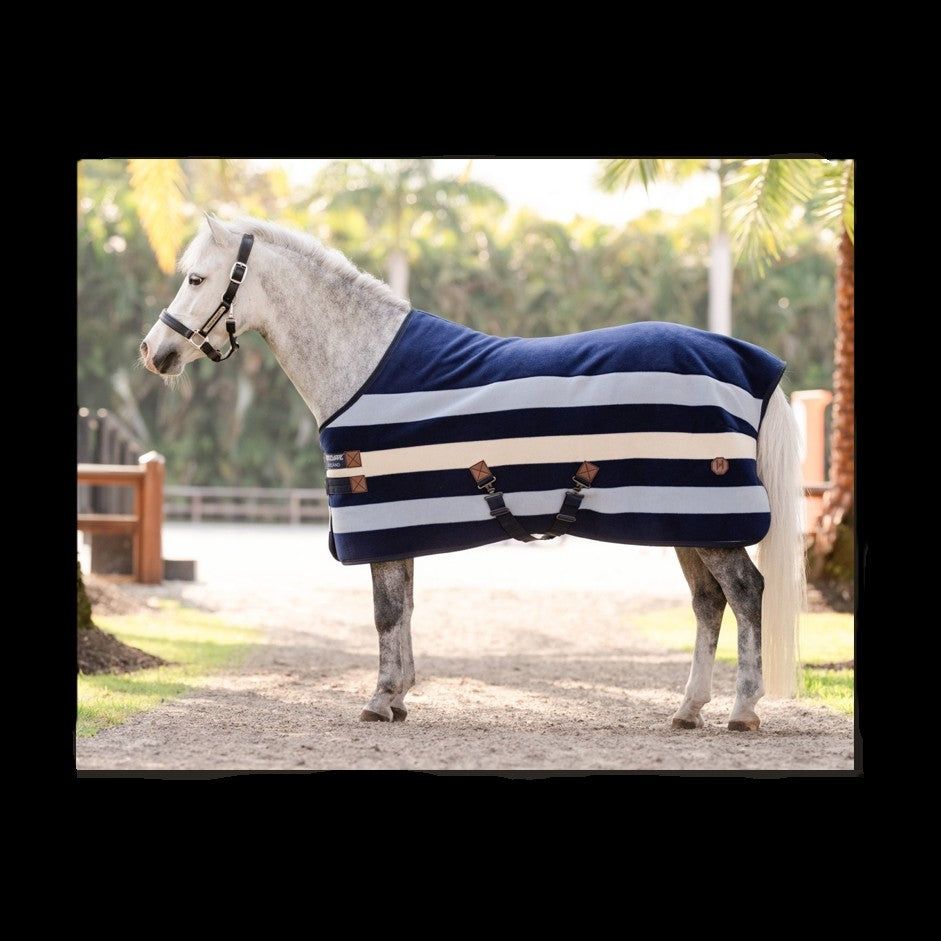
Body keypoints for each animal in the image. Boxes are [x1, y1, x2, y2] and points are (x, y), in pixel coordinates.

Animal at [140, 214, 805, 732]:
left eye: (196, 278)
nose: (153, 353)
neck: (364, 363)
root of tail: (748, 362)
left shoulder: (379, 521)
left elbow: (386, 613)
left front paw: (380, 701)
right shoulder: (397, 527)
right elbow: (405, 608)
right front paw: (400, 697)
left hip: (710, 523)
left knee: (745, 594)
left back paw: (743, 710)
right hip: (688, 522)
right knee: (707, 603)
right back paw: (689, 709)